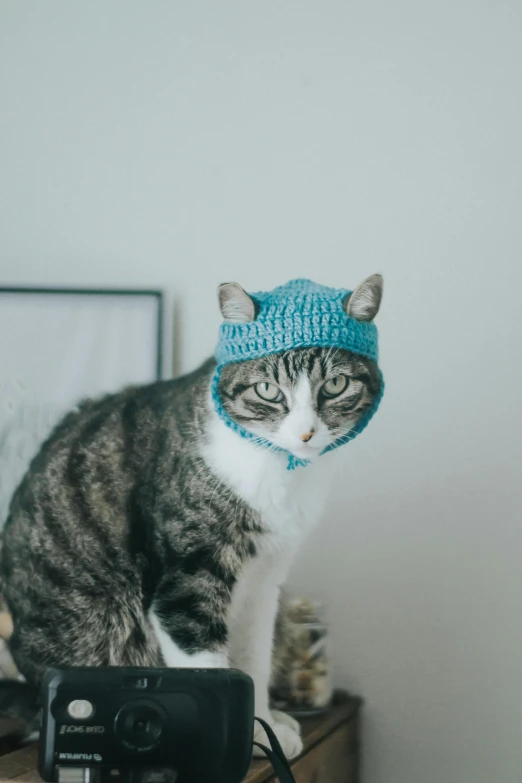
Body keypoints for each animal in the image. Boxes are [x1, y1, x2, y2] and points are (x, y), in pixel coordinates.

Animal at [0, 278, 382, 760]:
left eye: (335, 384)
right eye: (267, 390)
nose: (306, 433)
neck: (278, 470)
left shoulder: (264, 580)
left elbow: (253, 657)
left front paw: (265, 725)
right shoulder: (188, 576)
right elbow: (206, 663)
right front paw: (243, 738)